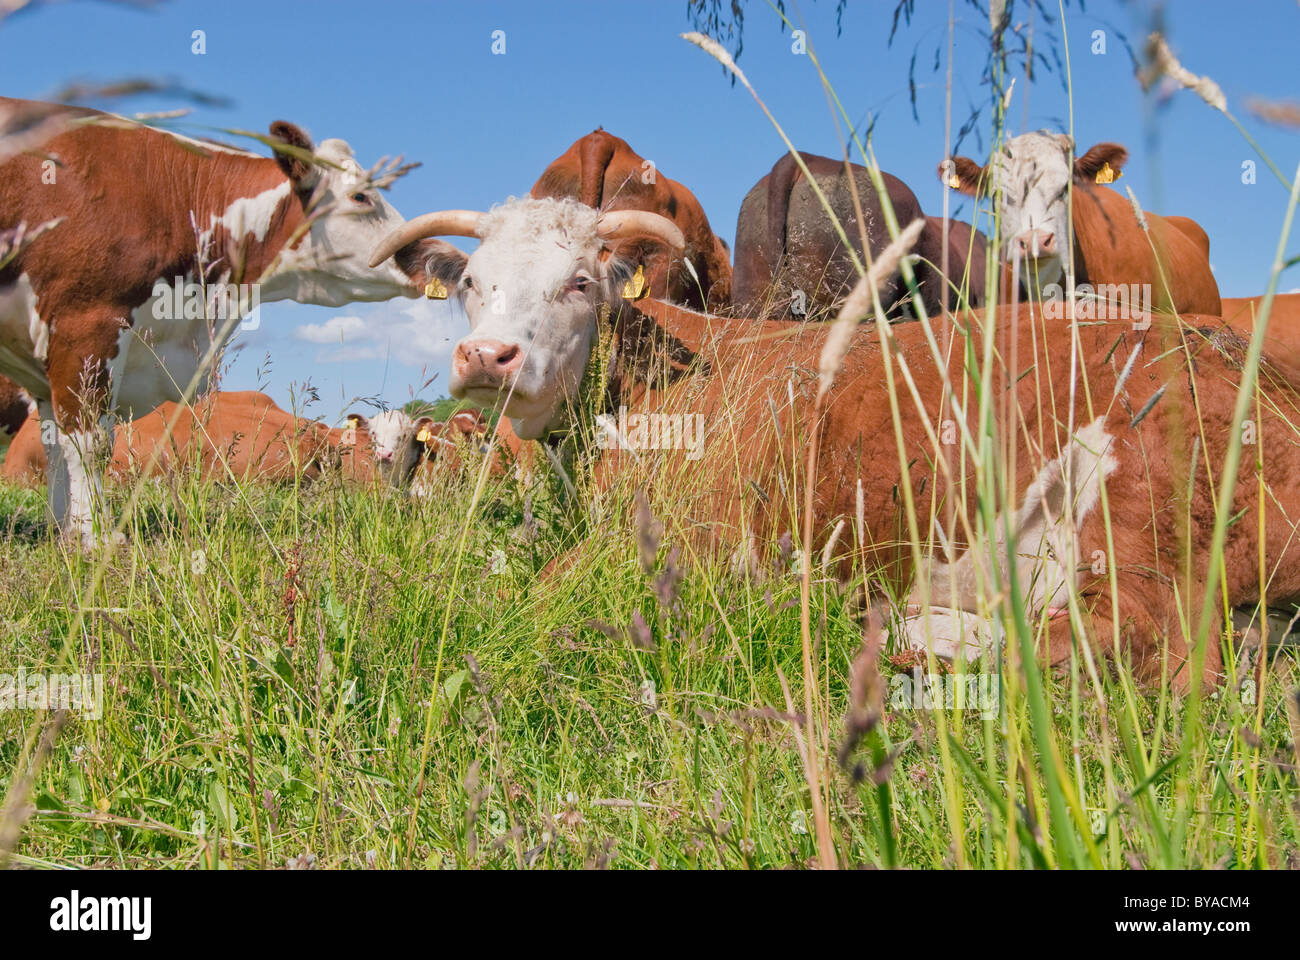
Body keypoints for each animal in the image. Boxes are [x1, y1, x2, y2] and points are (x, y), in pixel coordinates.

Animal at [0, 98, 457, 541]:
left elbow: (56, 446)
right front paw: (94, 539)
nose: (440, 255)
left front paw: (63, 533)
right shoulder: (85, 326)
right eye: (361, 197)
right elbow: (89, 446)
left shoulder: (48, 366)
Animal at [369, 196, 1300, 686]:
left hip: (1137, 520)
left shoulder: (687, 539)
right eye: (472, 283)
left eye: (579, 283)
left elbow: (528, 590)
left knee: (1126, 645)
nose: (486, 356)